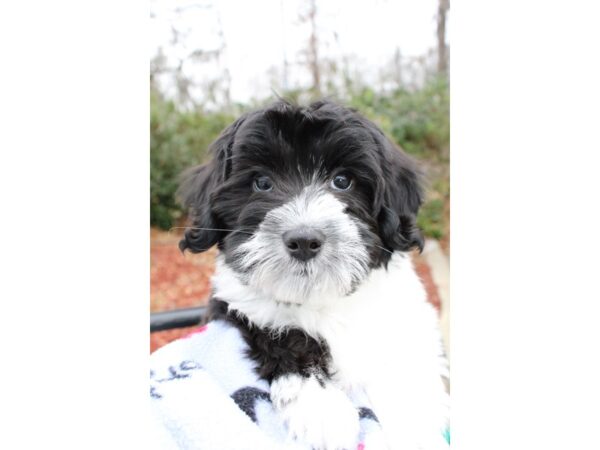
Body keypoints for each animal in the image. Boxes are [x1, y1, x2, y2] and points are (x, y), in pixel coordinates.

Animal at [178, 100, 450, 448]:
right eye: (261, 182)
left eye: (342, 181)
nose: (304, 241)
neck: (323, 299)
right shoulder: (235, 304)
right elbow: (280, 334)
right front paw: (321, 407)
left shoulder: (408, 320)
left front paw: (415, 426)